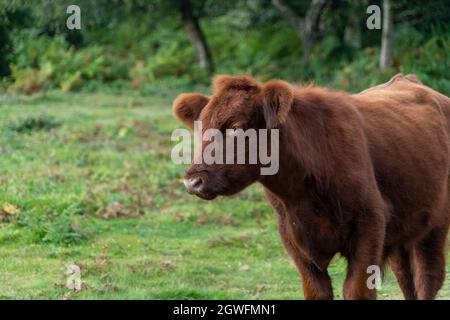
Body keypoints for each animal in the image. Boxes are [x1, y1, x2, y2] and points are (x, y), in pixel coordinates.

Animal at [172, 74, 450, 298]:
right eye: (201, 127)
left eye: (237, 129)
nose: (193, 180)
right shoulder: (294, 240)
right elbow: (317, 291)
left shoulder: (369, 226)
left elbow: (356, 290)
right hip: (403, 232)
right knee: (407, 279)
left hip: (434, 227)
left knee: (427, 279)